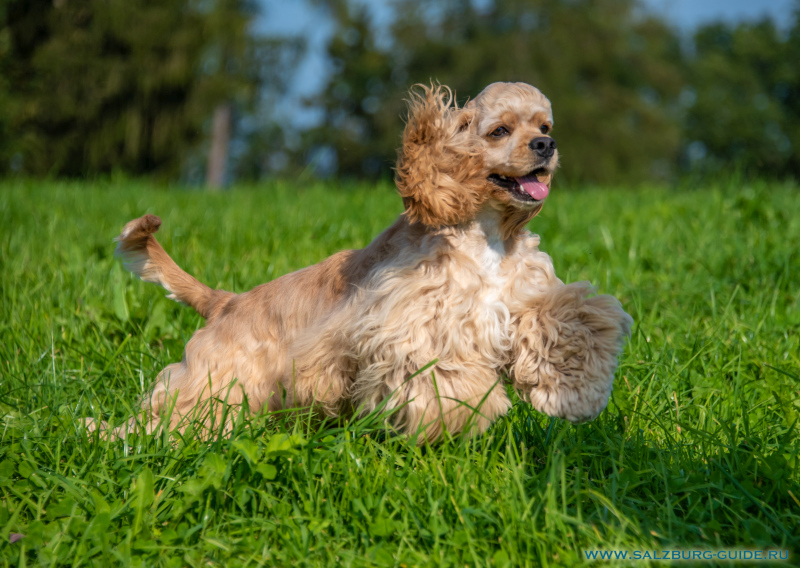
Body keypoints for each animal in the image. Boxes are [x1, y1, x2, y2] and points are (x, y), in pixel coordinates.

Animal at [109, 82, 632, 442]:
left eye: (543, 126)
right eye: (500, 130)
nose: (546, 146)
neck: (486, 236)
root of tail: (224, 302)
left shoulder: (529, 301)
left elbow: (570, 325)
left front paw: (577, 396)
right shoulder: (418, 327)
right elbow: (445, 377)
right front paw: (462, 415)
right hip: (215, 382)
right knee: (165, 416)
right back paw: (114, 438)